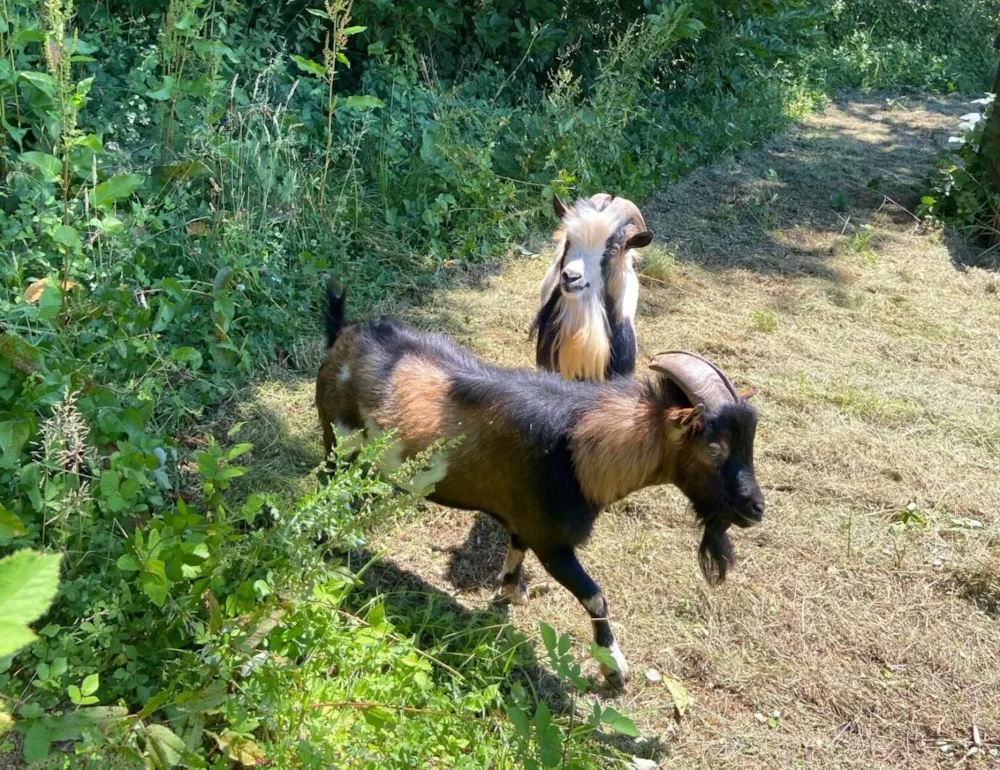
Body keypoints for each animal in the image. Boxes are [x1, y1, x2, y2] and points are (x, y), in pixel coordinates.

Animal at [316, 280, 760, 688]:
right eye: (714, 447)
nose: (756, 507)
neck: (579, 450)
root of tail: (343, 334)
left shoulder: (522, 521)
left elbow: (515, 552)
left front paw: (511, 593)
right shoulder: (553, 542)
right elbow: (594, 594)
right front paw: (613, 668)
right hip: (338, 443)